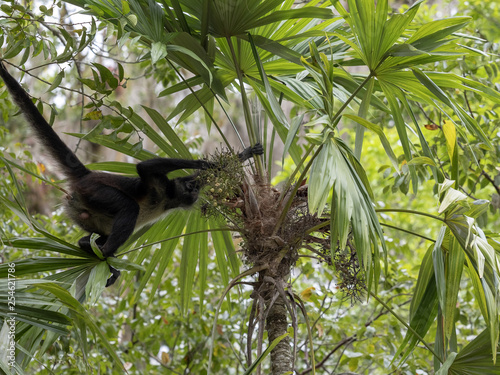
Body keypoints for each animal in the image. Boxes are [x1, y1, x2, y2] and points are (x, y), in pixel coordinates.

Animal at [0, 61, 264, 286]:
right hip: (95, 191)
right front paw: (205, 162)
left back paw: (89, 247)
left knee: (97, 232)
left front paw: (244, 154)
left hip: (83, 211)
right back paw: (105, 255)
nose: (193, 190)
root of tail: (87, 174)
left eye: (195, 190)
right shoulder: (160, 183)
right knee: (129, 208)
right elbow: (145, 168)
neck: (168, 199)